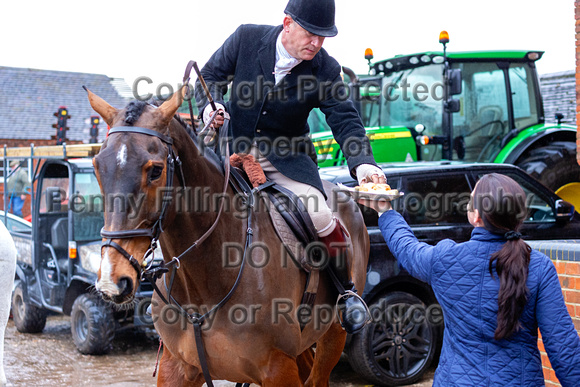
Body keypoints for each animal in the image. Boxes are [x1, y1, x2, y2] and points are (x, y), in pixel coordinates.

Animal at [85, 86, 370, 386]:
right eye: (97, 167)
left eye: (155, 170)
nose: (112, 280)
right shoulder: (176, 367)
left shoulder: (278, 368)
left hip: (333, 334)